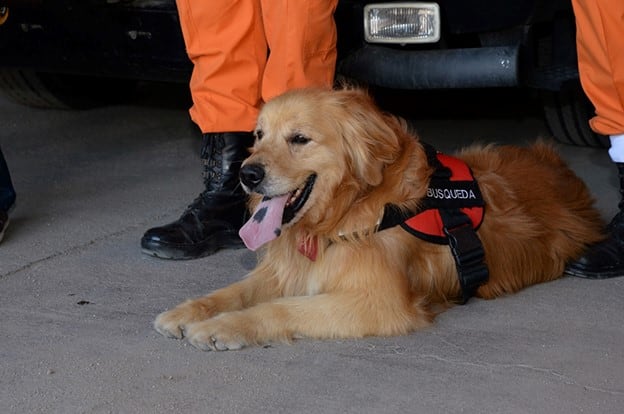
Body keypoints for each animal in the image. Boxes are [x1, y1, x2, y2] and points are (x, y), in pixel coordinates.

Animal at [155, 86, 604, 350]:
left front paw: (223, 328)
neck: (347, 210)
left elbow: (280, 309)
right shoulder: (286, 270)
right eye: (259, 135)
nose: (247, 174)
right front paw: (187, 312)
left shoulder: (377, 302)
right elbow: (233, 292)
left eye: (299, 139)